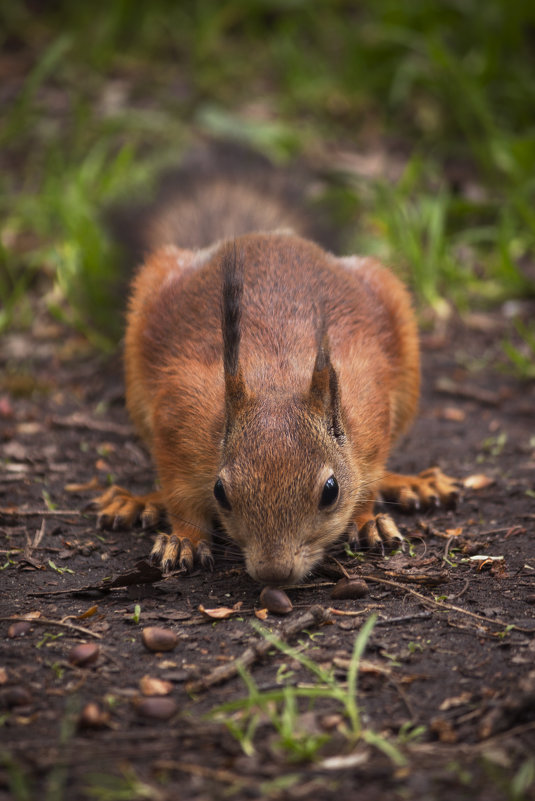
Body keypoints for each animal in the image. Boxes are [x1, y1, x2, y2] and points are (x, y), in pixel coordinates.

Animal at [94, 150, 458, 584]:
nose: (274, 572)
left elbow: (368, 483)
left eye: (331, 491)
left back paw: (410, 484)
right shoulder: (178, 423)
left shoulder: (372, 419)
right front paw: (183, 539)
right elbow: (181, 497)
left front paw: (367, 518)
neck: (278, 380)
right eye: (220, 492)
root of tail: (267, 233)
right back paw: (140, 501)